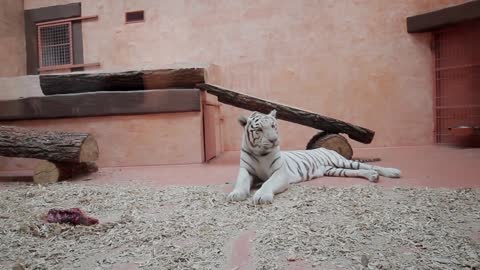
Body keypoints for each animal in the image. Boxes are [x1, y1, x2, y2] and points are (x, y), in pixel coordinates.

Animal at [229, 108, 402, 204]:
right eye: (259, 130)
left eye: (273, 126)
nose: (274, 140)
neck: (260, 153)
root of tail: (327, 149)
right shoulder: (246, 170)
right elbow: (241, 182)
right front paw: (236, 194)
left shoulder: (280, 173)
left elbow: (268, 183)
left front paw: (262, 196)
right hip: (334, 169)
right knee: (358, 171)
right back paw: (372, 176)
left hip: (342, 162)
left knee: (369, 166)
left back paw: (392, 172)